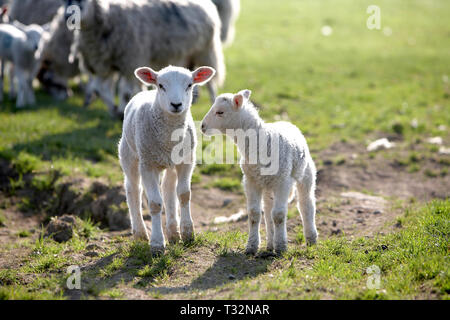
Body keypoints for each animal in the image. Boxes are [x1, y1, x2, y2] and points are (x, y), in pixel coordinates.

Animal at [62, 0, 225, 118]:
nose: (66, 17)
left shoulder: (131, 60)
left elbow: (125, 91)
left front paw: (121, 111)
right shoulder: (103, 64)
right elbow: (101, 90)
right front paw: (115, 110)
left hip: (204, 51)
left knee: (210, 84)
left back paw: (213, 102)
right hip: (188, 55)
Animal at [118, 65, 217, 255]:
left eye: (189, 85)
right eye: (161, 85)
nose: (176, 104)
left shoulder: (187, 161)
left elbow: (184, 194)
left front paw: (187, 233)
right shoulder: (148, 165)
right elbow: (155, 203)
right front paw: (157, 243)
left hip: (170, 163)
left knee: (168, 188)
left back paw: (173, 233)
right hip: (130, 154)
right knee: (133, 189)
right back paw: (140, 233)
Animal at [202, 89, 318, 254]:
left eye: (220, 112)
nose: (202, 126)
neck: (261, 140)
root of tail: (286, 122)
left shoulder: (283, 181)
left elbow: (279, 215)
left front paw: (281, 247)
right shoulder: (251, 180)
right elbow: (254, 214)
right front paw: (251, 246)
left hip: (305, 173)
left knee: (306, 204)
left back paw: (310, 238)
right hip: (267, 183)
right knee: (268, 210)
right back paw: (270, 244)